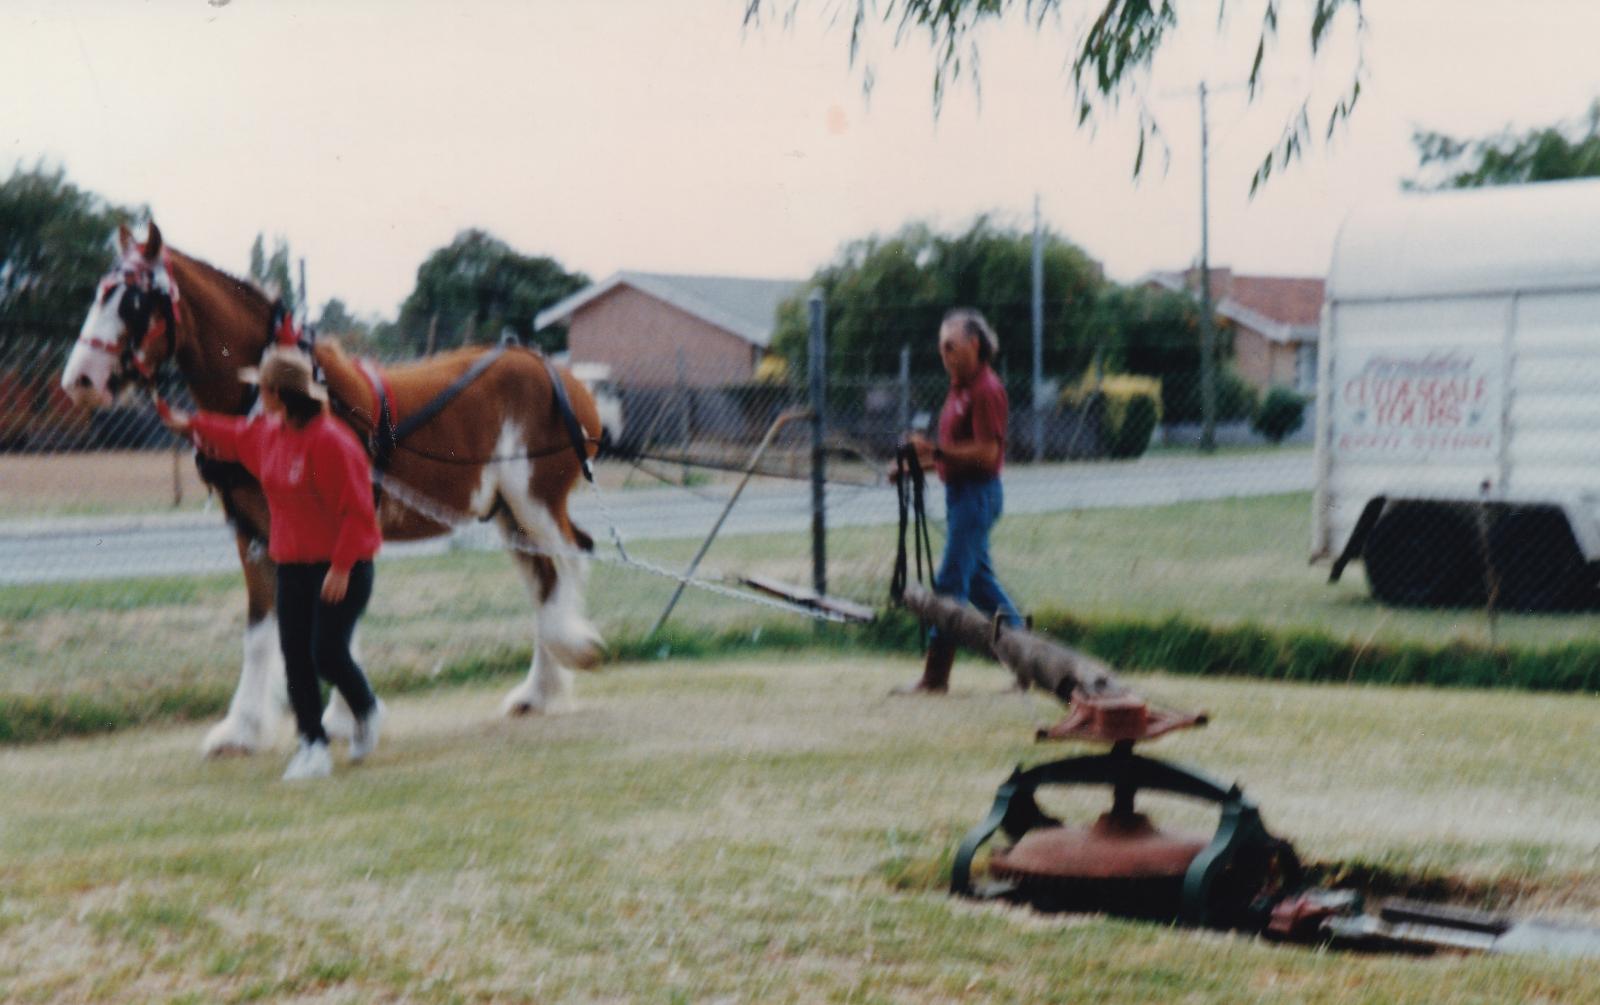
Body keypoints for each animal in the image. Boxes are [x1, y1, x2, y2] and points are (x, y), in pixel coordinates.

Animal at [62, 224, 604, 758]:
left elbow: (333, 618)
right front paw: (243, 730)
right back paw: (538, 692)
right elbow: (262, 631)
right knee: (543, 580)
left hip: (536, 499)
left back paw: (572, 646)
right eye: (99, 292)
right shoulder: (255, 534)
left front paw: (341, 716)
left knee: (569, 560)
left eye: (133, 302)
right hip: (508, 511)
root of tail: (561, 376)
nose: (80, 379)